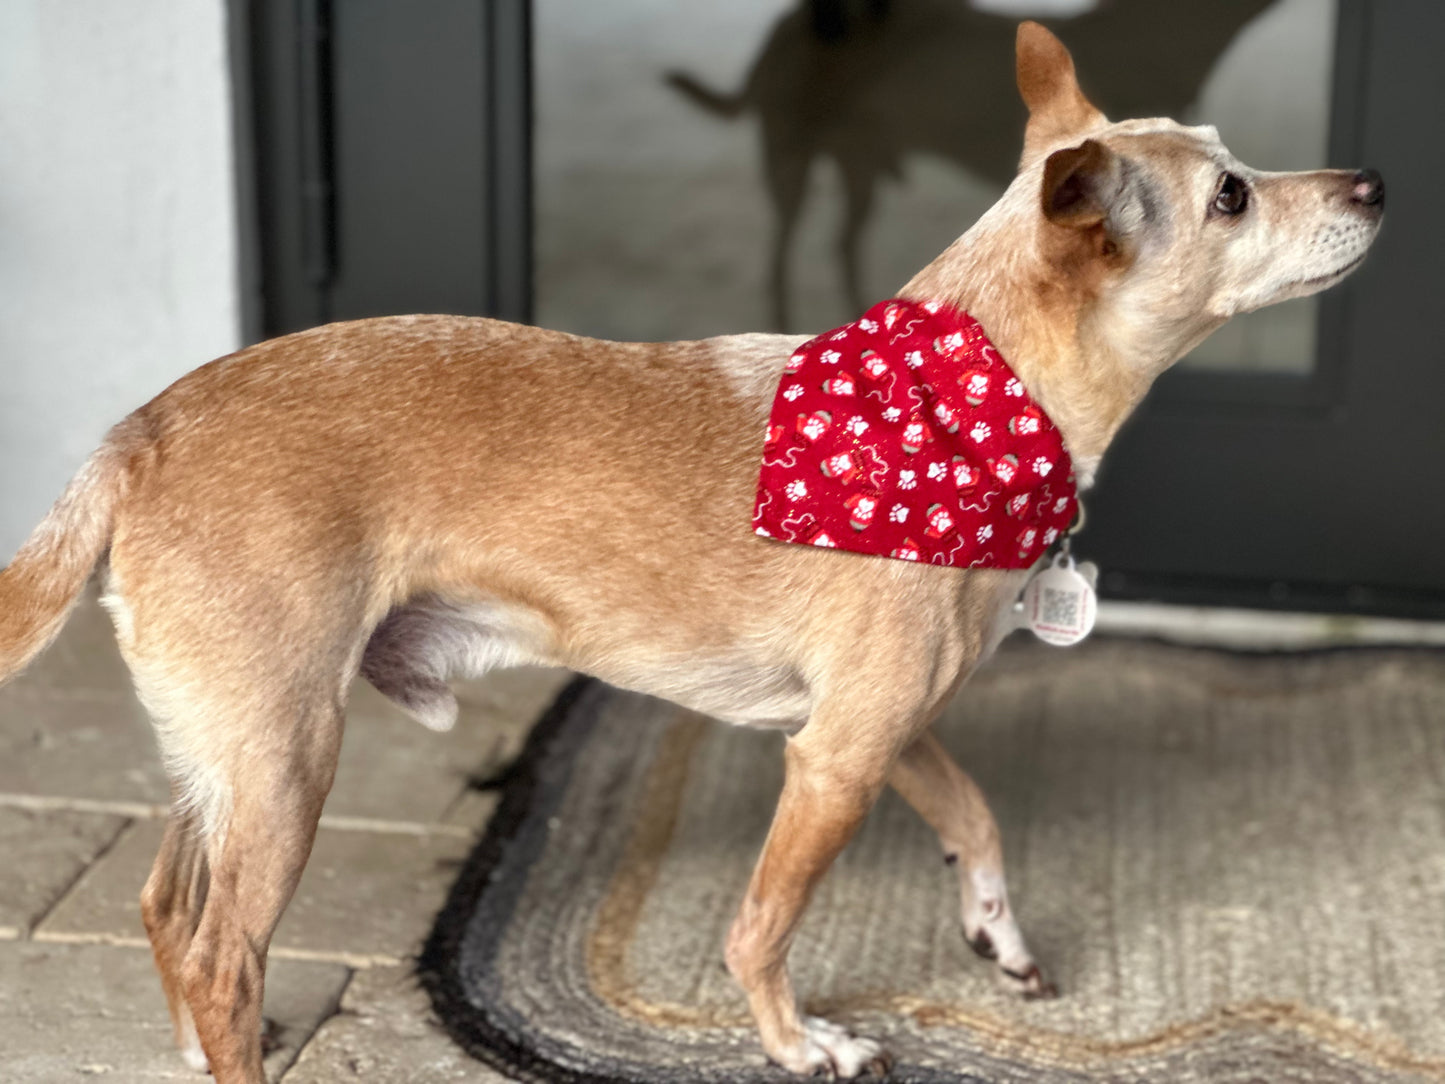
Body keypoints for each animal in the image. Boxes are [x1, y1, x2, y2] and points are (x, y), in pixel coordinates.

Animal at [0, 21, 1381, 1081]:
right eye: (1230, 195)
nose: (1370, 181)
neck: (973, 395)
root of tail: (139, 431)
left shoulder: (877, 730)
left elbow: (975, 812)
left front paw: (997, 934)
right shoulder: (834, 760)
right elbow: (761, 926)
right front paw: (797, 1043)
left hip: (224, 759)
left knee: (167, 909)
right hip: (286, 757)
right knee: (222, 952)